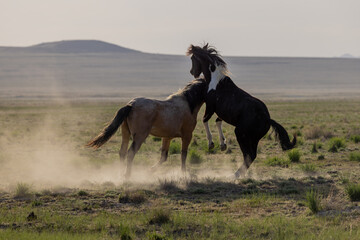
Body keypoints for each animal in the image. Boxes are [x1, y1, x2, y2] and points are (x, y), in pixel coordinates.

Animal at [186, 43, 296, 178]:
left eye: (192, 58)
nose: (193, 72)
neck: (215, 82)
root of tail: (267, 119)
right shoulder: (222, 112)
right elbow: (218, 122)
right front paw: (223, 145)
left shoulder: (210, 107)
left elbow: (205, 120)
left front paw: (211, 144)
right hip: (254, 138)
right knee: (252, 156)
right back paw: (238, 174)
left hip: (241, 134)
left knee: (249, 155)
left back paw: (236, 174)